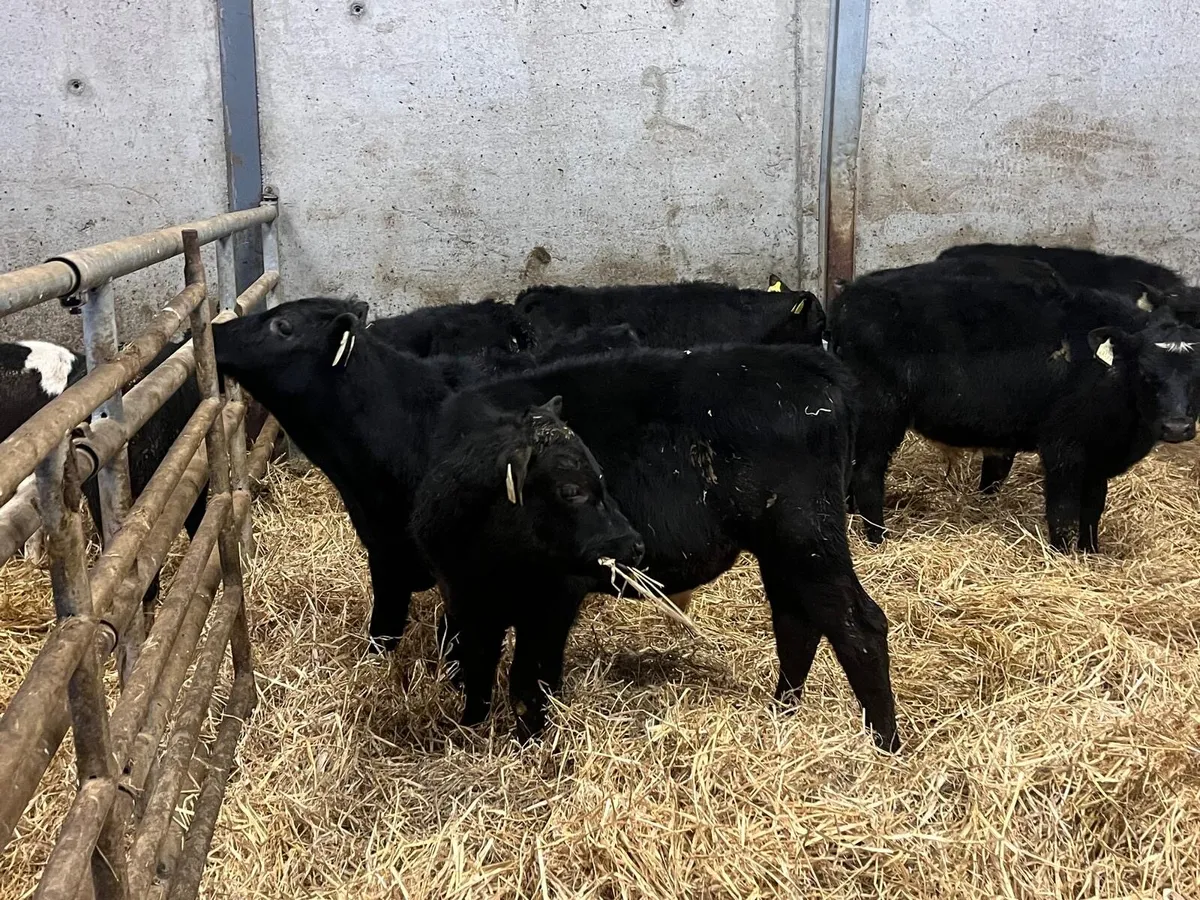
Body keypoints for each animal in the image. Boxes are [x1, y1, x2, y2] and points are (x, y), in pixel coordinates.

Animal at [212, 297, 899, 751]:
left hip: (806, 536)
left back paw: (883, 743)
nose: (216, 333)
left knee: (857, 624)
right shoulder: (419, 567)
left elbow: (518, 669)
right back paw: (783, 715)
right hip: (784, 546)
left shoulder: (527, 584)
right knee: (797, 622)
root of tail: (810, 369)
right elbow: (444, 650)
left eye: (280, 324)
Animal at [830, 261, 1200, 551]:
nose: (1177, 427)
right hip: (881, 414)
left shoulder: (1098, 456)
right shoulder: (1063, 448)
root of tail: (852, 294)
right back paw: (878, 540)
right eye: (1145, 373)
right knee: (866, 476)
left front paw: (1091, 553)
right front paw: (1064, 559)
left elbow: (1092, 509)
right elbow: (1063, 514)